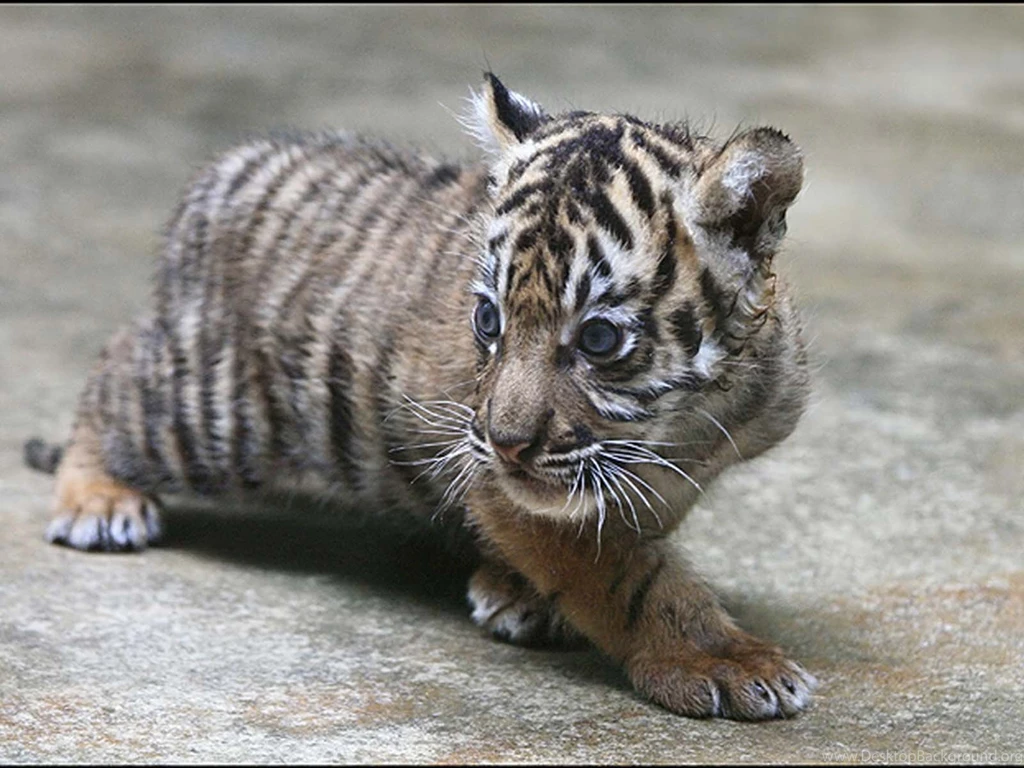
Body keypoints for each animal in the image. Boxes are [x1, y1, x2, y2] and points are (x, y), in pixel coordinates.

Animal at [24, 73, 817, 720]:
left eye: (598, 339)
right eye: (489, 320)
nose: (507, 444)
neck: (683, 424)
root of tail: (227, 169)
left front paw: (516, 591)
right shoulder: (501, 479)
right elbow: (631, 578)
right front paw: (723, 660)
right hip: (220, 415)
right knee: (114, 376)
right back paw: (100, 502)